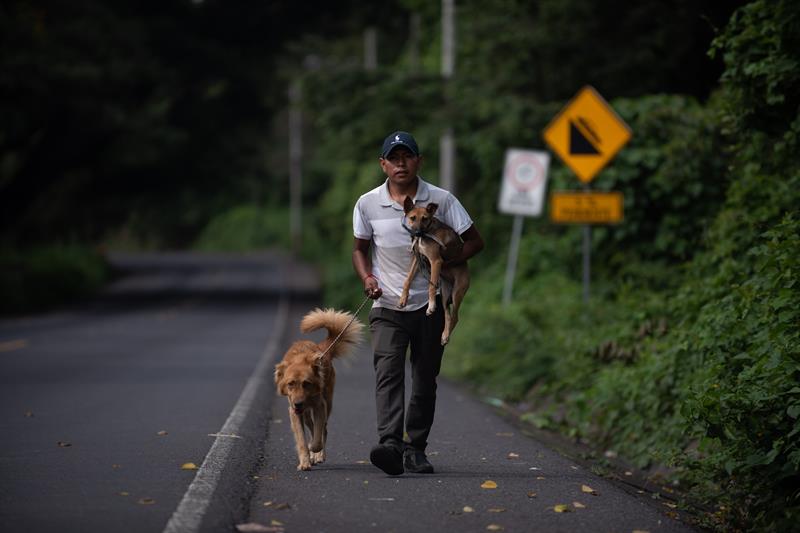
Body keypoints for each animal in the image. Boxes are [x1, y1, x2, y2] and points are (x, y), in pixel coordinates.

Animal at [274, 308, 364, 470]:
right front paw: (305, 461)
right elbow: (302, 440)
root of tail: (322, 350)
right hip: (306, 413)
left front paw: (315, 451)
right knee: (312, 426)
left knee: (323, 429)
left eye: (306, 383)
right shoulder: (294, 413)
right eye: (290, 384)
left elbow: (317, 439)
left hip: (328, 404)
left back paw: (319, 455)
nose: (298, 404)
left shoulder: (319, 406)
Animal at [398, 196, 468, 344]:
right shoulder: (418, 259)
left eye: (425, 218)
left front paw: (430, 307)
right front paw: (403, 299)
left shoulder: (436, 261)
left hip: (457, 292)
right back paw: (444, 334)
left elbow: (431, 286)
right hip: (445, 294)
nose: (417, 233)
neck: (427, 233)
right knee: (448, 315)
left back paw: (446, 336)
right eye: (412, 218)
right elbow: (408, 279)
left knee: (455, 317)